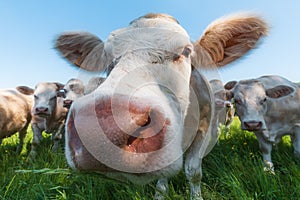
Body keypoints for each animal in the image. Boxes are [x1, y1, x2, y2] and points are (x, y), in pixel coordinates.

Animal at [54, 12, 268, 200]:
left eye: (186, 51)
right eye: (107, 59)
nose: (100, 131)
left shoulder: (204, 129)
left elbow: (193, 171)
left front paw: (196, 196)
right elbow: (162, 177)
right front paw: (160, 194)